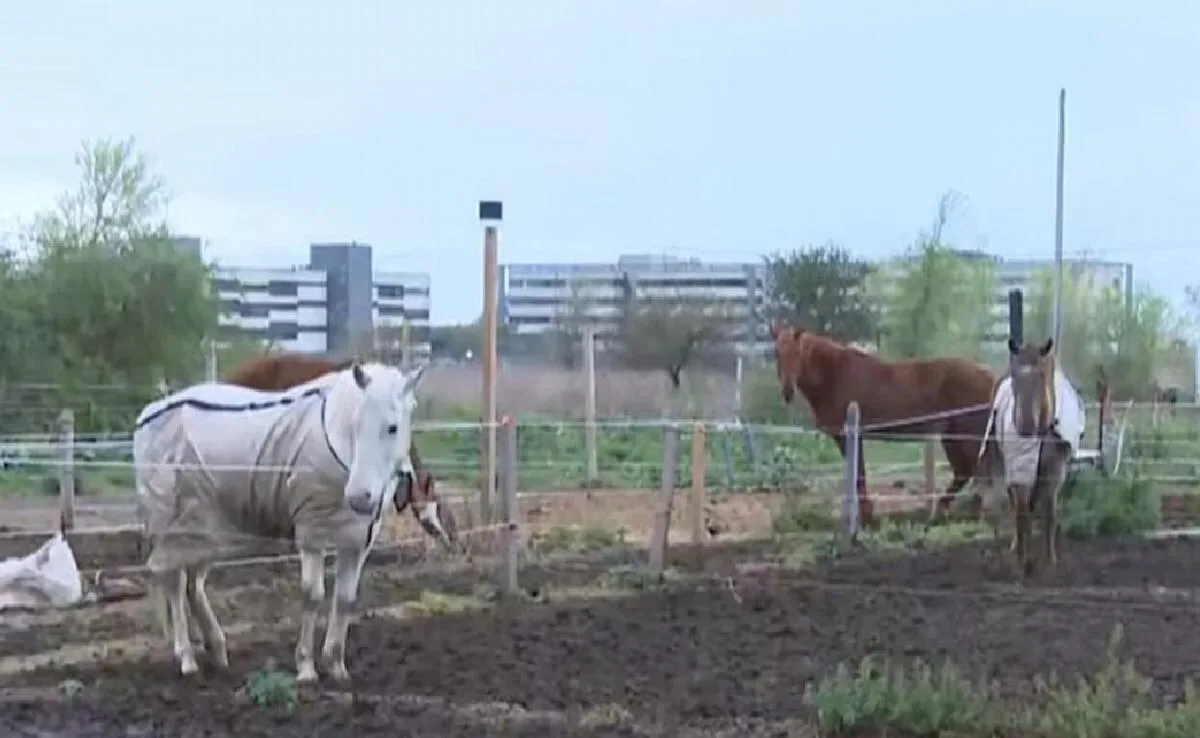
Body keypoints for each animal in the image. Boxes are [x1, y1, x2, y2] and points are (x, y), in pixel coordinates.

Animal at [134, 361, 429, 680]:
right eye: (355, 424)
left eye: (392, 427)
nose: (359, 498)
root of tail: (149, 414)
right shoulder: (312, 535)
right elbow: (313, 596)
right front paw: (306, 668)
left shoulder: (357, 540)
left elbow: (345, 600)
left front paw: (336, 666)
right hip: (174, 525)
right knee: (174, 583)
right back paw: (187, 658)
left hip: (203, 529)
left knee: (193, 585)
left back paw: (218, 651)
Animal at [771, 325, 1000, 527]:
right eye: (777, 353)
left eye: (798, 353)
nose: (787, 391)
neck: (834, 375)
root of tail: (989, 375)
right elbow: (857, 475)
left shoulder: (850, 437)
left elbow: (859, 476)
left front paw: (866, 516)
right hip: (952, 436)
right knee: (964, 472)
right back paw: (943, 512)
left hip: (969, 435)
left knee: (978, 472)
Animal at [982, 338, 1085, 576]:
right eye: (1015, 376)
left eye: (1041, 375)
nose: (1025, 425)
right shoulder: (1020, 471)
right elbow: (1021, 512)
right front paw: (1022, 562)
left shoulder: (1053, 474)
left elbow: (1049, 515)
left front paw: (1050, 559)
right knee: (1017, 506)